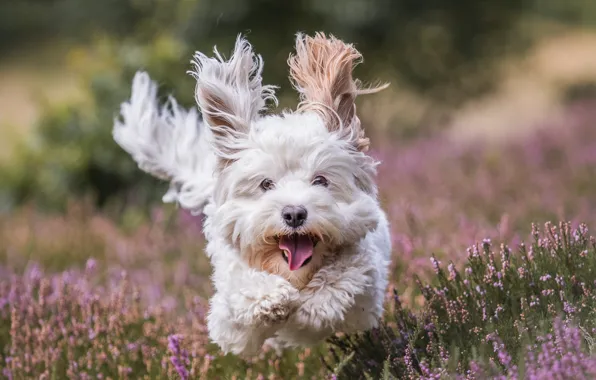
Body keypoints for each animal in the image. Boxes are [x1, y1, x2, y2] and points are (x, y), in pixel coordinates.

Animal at [113, 31, 392, 356]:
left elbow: (347, 274)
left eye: (321, 181)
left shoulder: (367, 290)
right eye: (266, 184)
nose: (294, 213)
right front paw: (270, 298)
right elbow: (243, 290)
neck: (294, 276)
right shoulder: (226, 319)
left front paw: (317, 302)